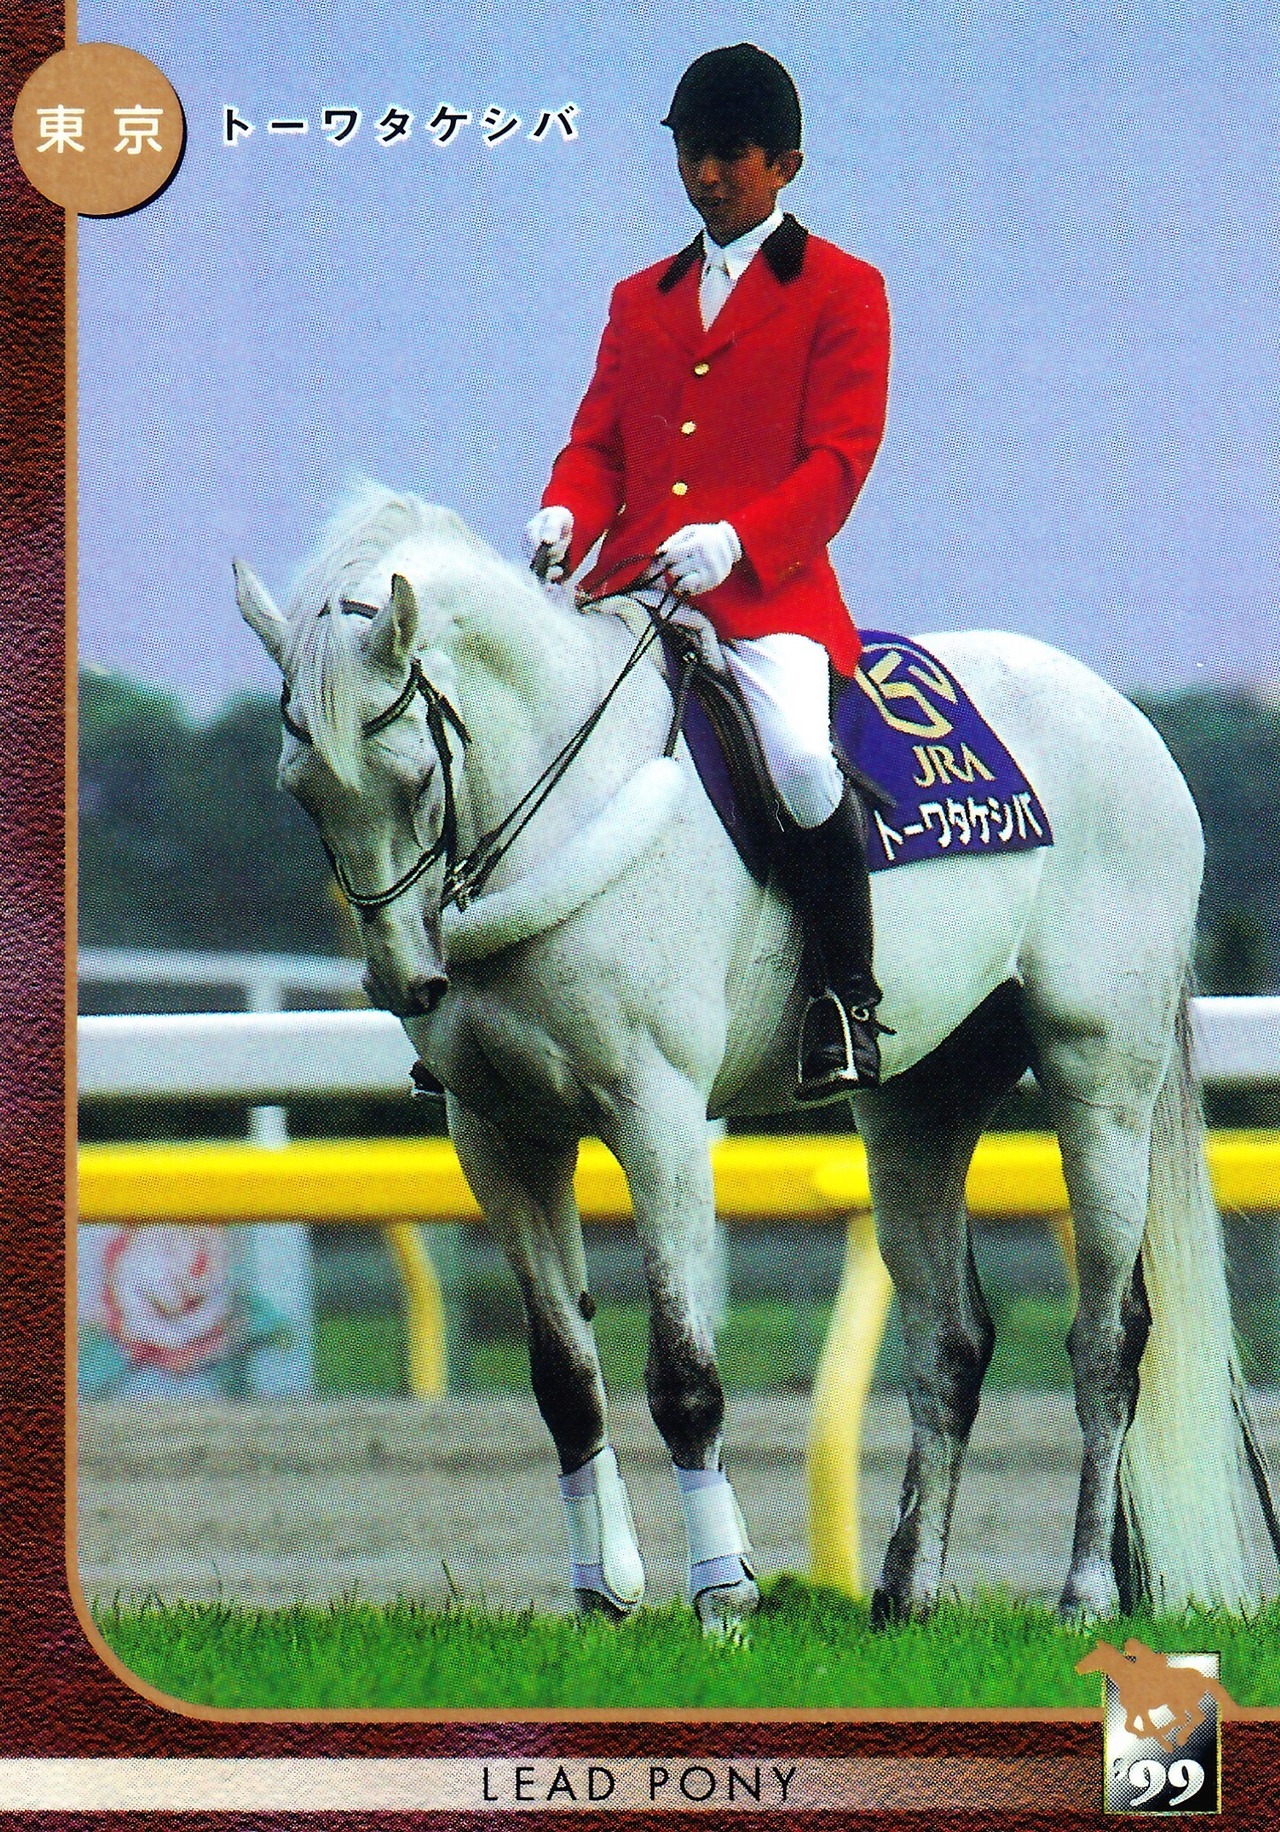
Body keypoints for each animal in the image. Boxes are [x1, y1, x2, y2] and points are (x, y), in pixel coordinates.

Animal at [235, 482, 1278, 1632]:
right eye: (300, 789)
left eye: (416, 774)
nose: (405, 980)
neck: (567, 802)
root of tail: (1122, 713)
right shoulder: (500, 1136)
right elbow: (565, 1381)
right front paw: (600, 1600)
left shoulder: (655, 1115)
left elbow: (683, 1374)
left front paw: (722, 1598)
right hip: (918, 1104)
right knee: (949, 1343)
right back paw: (903, 1596)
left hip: (1099, 1080)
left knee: (1107, 1338)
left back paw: (1083, 1594)